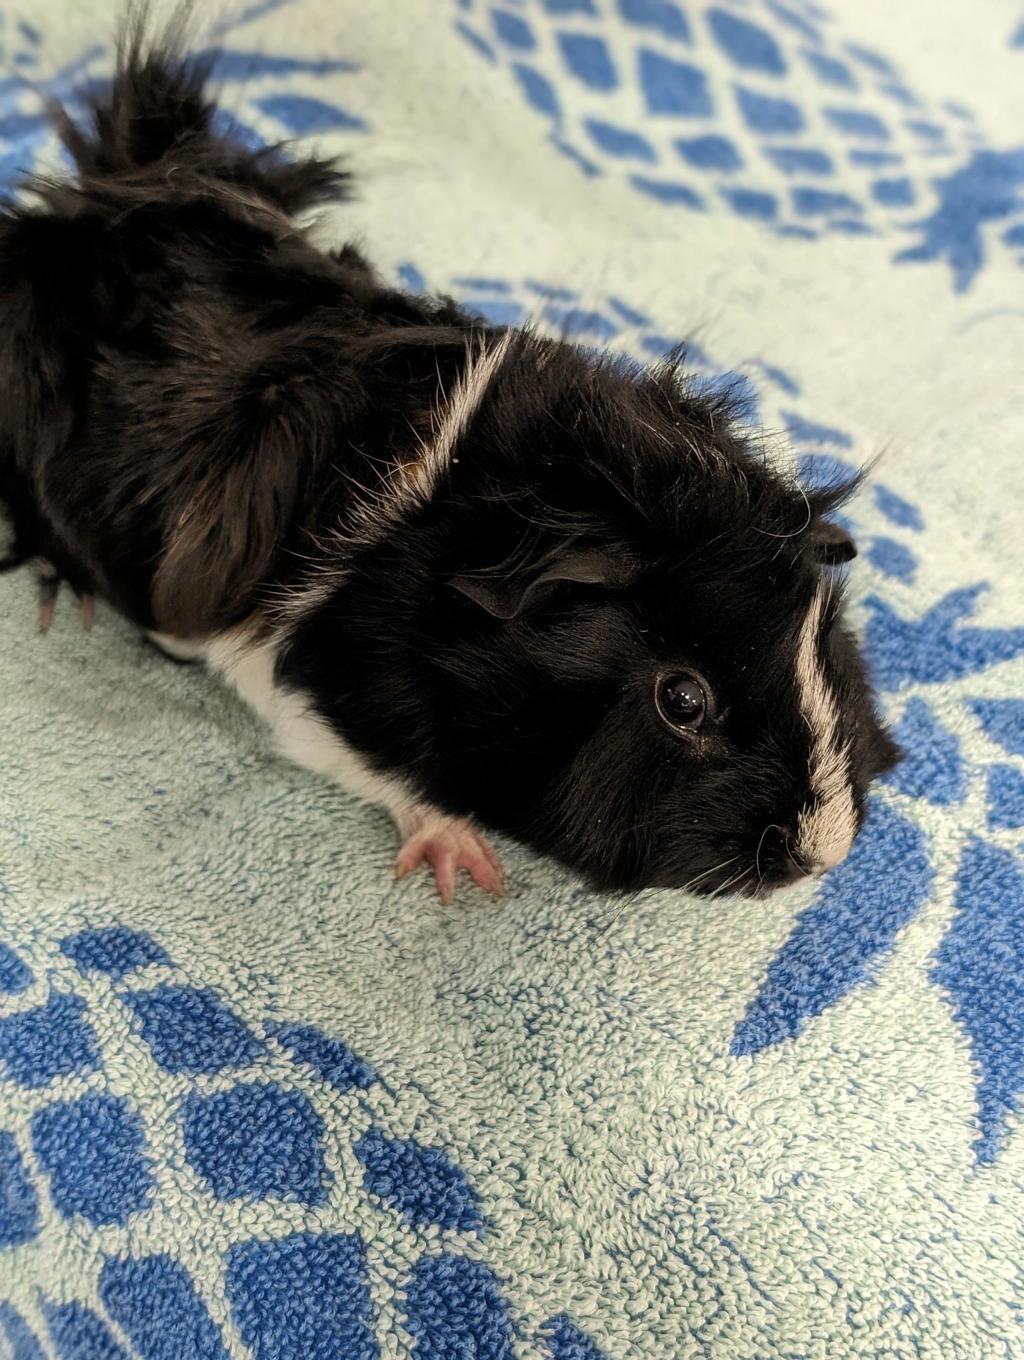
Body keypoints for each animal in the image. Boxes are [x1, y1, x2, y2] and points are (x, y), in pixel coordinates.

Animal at [0, 19, 900, 901]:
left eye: (823, 641)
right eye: (682, 699)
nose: (822, 851)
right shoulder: (313, 692)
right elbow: (375, 770)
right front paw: (469, 872)